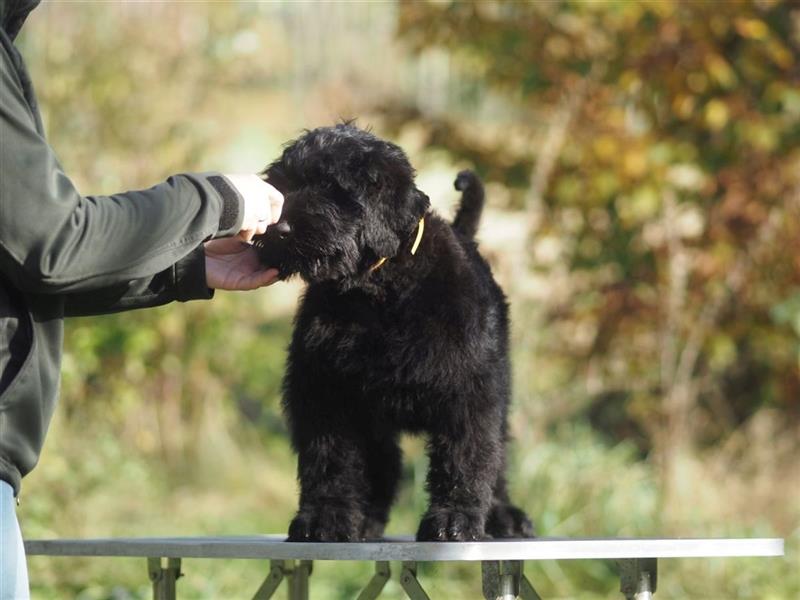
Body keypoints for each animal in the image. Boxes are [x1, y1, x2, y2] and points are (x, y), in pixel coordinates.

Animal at [255, 124, 532, 540]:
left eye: (333, 188)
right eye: (282, 184)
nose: (278, 229)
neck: (378, 291)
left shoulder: (469, 389)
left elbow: (465, 456)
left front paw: (454, 519)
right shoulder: (326, 393)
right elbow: (329, 462)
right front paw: (324, 519)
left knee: (494, 457)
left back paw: (504, 515)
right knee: (382, 465)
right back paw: (367, 520)